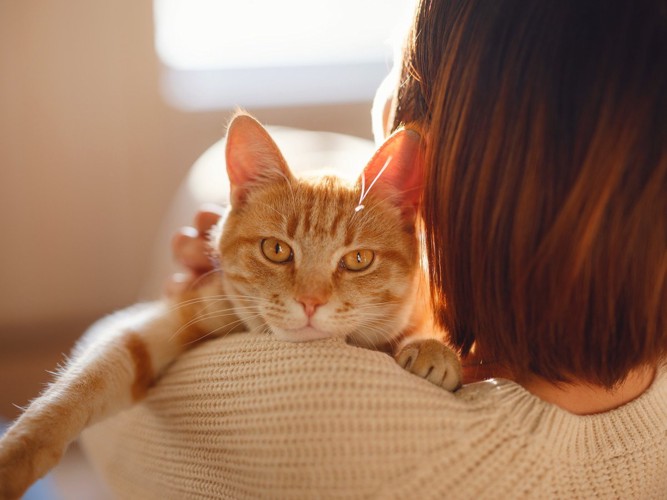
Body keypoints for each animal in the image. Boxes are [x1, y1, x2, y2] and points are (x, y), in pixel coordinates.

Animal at [0, 114, 462, 500]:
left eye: (358, 260)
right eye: (276, 250)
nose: (310, 302)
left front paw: (433, 350)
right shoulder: (172, 317)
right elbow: (78, 387)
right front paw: (16, 458)